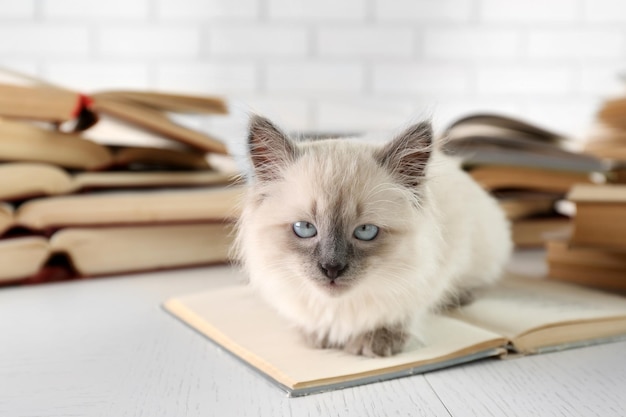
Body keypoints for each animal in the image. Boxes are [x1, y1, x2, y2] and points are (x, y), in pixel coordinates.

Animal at [235, 114, 512, 358]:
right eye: (305, 228)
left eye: (365, 231)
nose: (332, 268)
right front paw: (319, 337)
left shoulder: (426, 275)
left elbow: (398, 313)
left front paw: (377, 340)